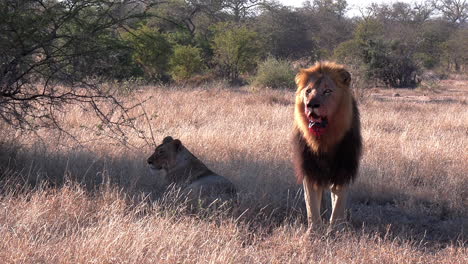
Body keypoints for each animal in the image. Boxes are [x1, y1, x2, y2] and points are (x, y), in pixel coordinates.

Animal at [292, 60, 362, 230]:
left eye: (327, 91)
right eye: (308, 91)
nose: (311, 105)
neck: (324, 139)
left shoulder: (343, 170)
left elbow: (338, 204)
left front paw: (337, 229)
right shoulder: (309, 169)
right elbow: (311, 204)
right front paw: (314, 231)